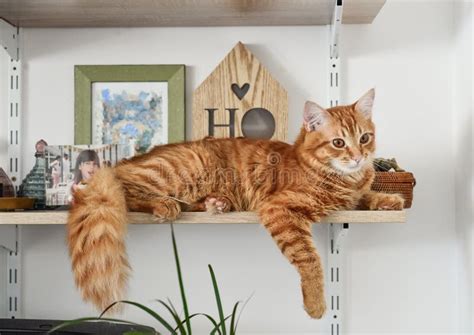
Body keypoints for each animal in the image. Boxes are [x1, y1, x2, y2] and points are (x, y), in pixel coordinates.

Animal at [67, 89, 404, 320]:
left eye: (364, 138)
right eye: (338, 143)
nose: (359, 157)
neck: (345, 181)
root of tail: (127, 159)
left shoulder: (353, 196)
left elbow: (367, 196)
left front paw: (390, 199)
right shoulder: (279, 208)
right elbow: (310, 260)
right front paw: (316, 304)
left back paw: (216, 202)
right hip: (180, 171)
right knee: (126, 191)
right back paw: (165, 204)